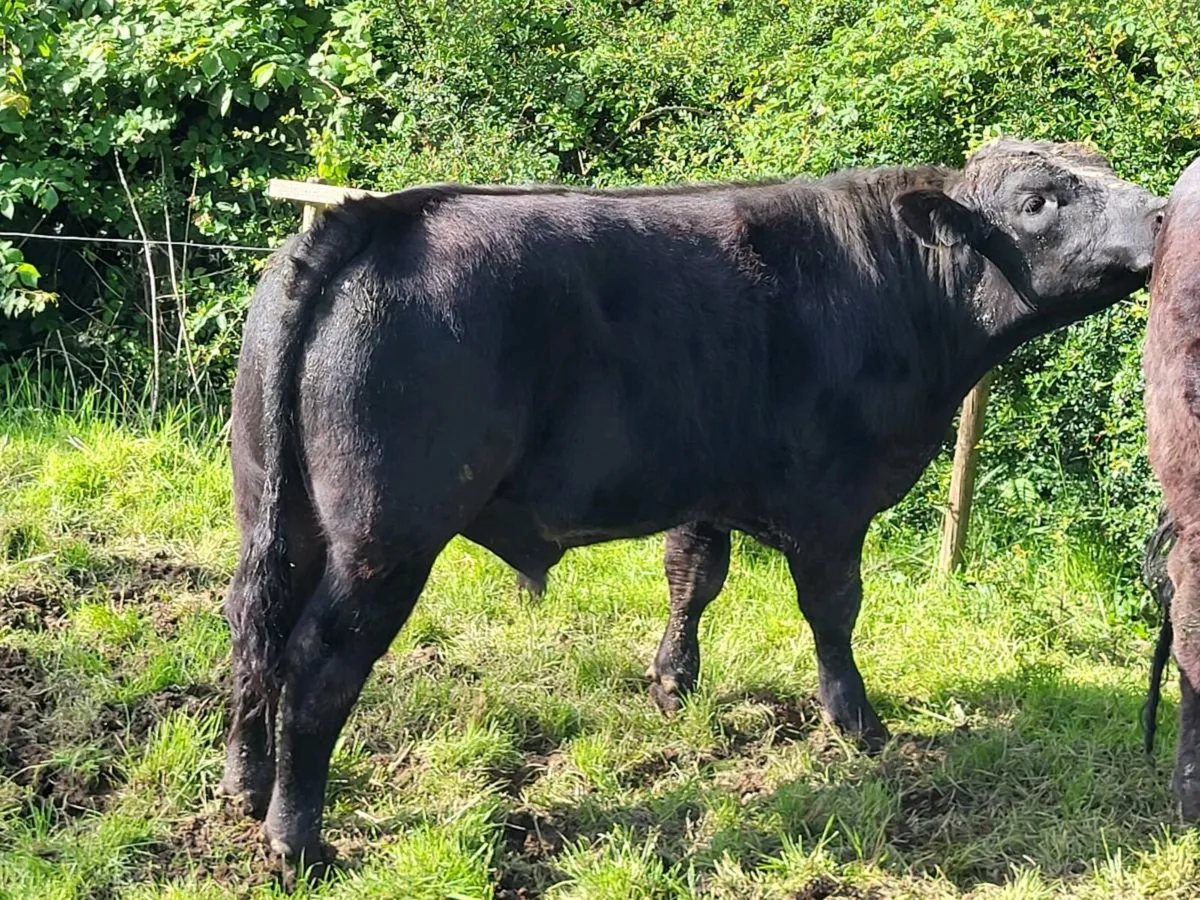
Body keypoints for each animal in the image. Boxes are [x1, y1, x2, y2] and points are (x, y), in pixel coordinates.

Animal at [219, 139, 1164, 877]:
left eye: (1104, 170)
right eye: (1037, 203)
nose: (1162, 215)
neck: (900, 287)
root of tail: (370, 220)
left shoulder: (704, 482)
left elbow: (693, 576)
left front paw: (674, 682)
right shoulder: (832, 503)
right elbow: (833, 612)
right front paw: (857, 722)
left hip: (278, 511)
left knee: (249, 625)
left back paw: (244, 782)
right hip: (387, 536)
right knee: (316, 663)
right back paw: (297, 843)